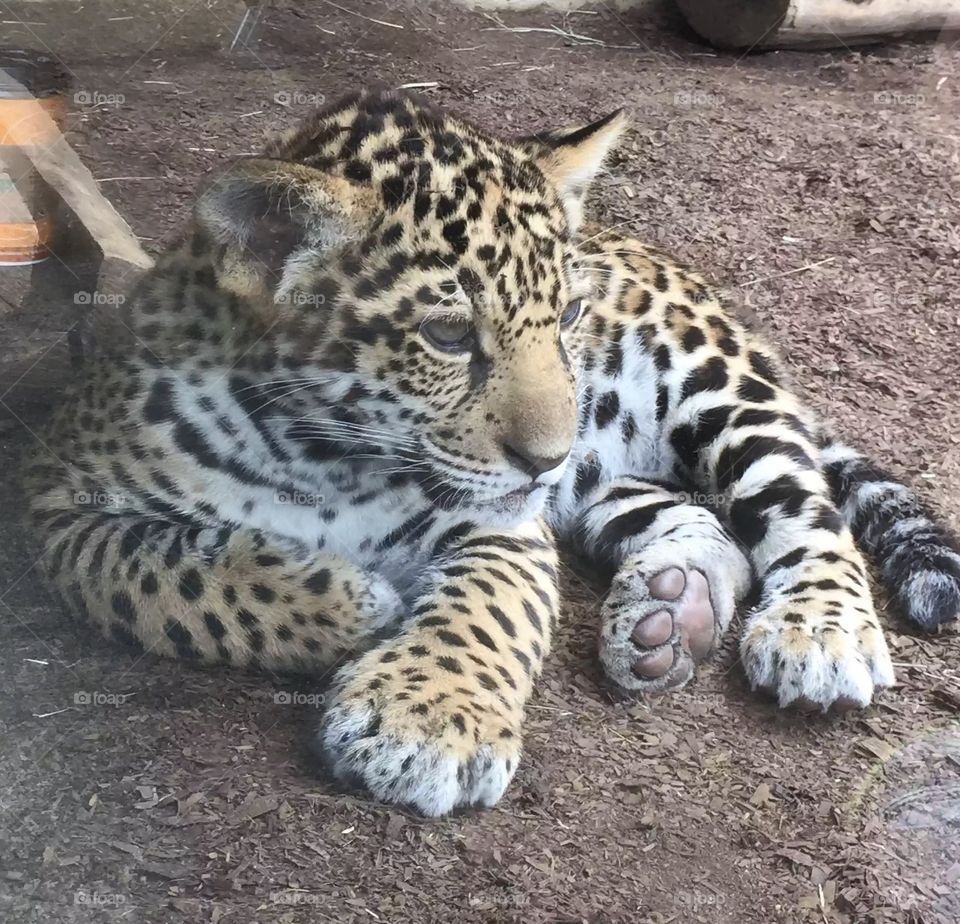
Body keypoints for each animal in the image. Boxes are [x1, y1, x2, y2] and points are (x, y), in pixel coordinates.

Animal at [25, 89, 960, 817]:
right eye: (445, 335)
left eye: (569, 316)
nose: (547, 458)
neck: (318, 458)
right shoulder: (58, 507)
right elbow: (173, 578)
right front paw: (346, 598)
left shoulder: (503, 528)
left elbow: (486, 605)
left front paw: (427, 719)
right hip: (606, 487)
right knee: (703, 520)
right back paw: (669, 609)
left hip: (718, 387)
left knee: (807, 510)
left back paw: (819, 631)